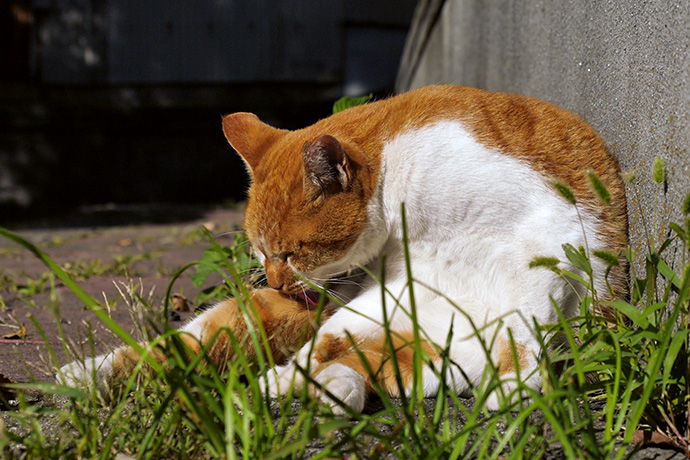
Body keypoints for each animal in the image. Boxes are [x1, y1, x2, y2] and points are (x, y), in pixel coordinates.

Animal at [60, 85, 628, 414]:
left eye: (291, 252)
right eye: (260, 251)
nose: (276, 280)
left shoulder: (547, 236)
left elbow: (528, 322)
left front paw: (518, 382)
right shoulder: (386, 286)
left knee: (345, 361)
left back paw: (317, 387)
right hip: (357, 309)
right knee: (224, 346)